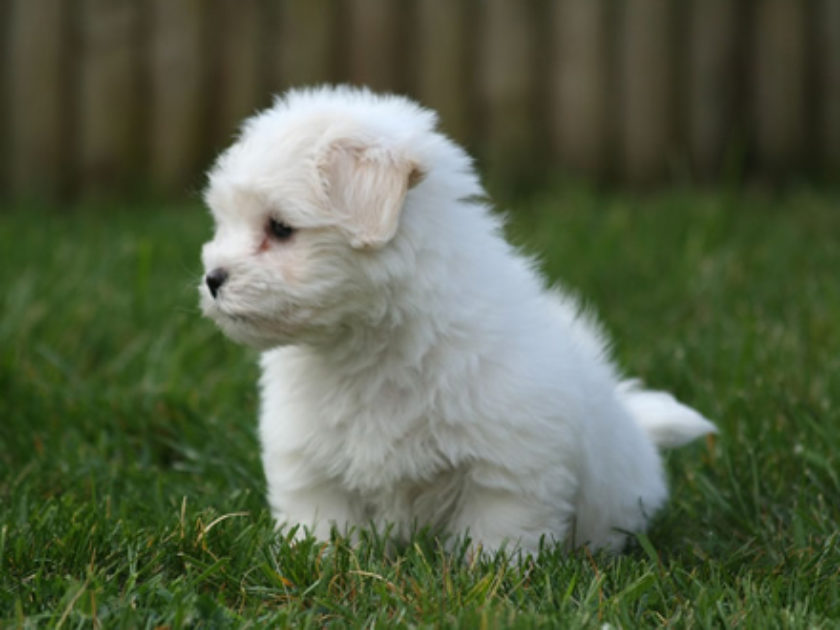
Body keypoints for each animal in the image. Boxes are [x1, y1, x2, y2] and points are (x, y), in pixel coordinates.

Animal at [199, 86, 716, 556]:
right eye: (225, 223)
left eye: (280, 228)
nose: (212, 279)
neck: (369, 343)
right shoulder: (312, 464)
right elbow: (322, 524)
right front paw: (318, 562)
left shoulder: (507, 469)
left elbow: (496, 536)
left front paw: (491, 577)